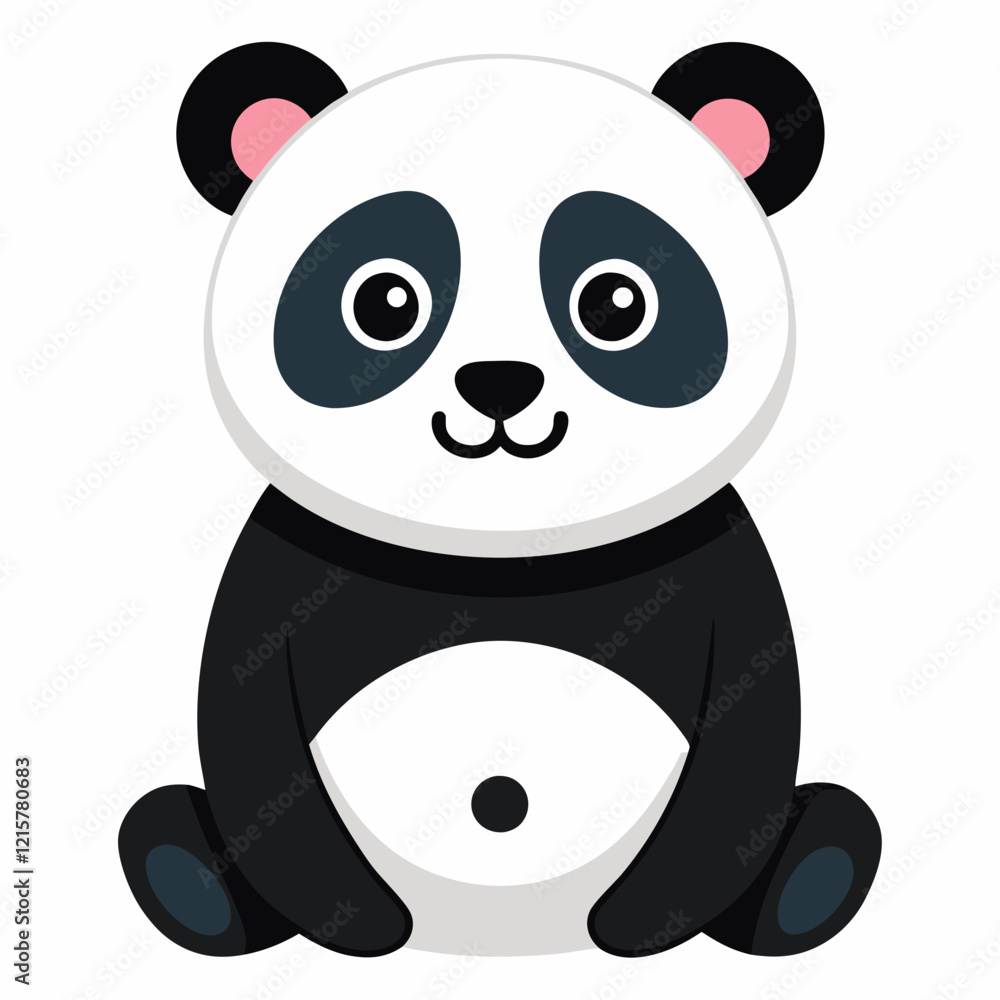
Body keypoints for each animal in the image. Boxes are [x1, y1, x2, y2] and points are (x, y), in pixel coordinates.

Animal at [119, 41, 881, 960]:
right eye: (384, 302)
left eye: (616, 302)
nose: (499, 384)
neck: (502, 556)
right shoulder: (288, 563)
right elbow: (252, 728)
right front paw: (357, 921)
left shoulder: (714, 562)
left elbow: (745, 734)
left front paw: (645, 921)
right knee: (173, 824)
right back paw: (189, 884)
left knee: (828, 827)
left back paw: (809, 883)